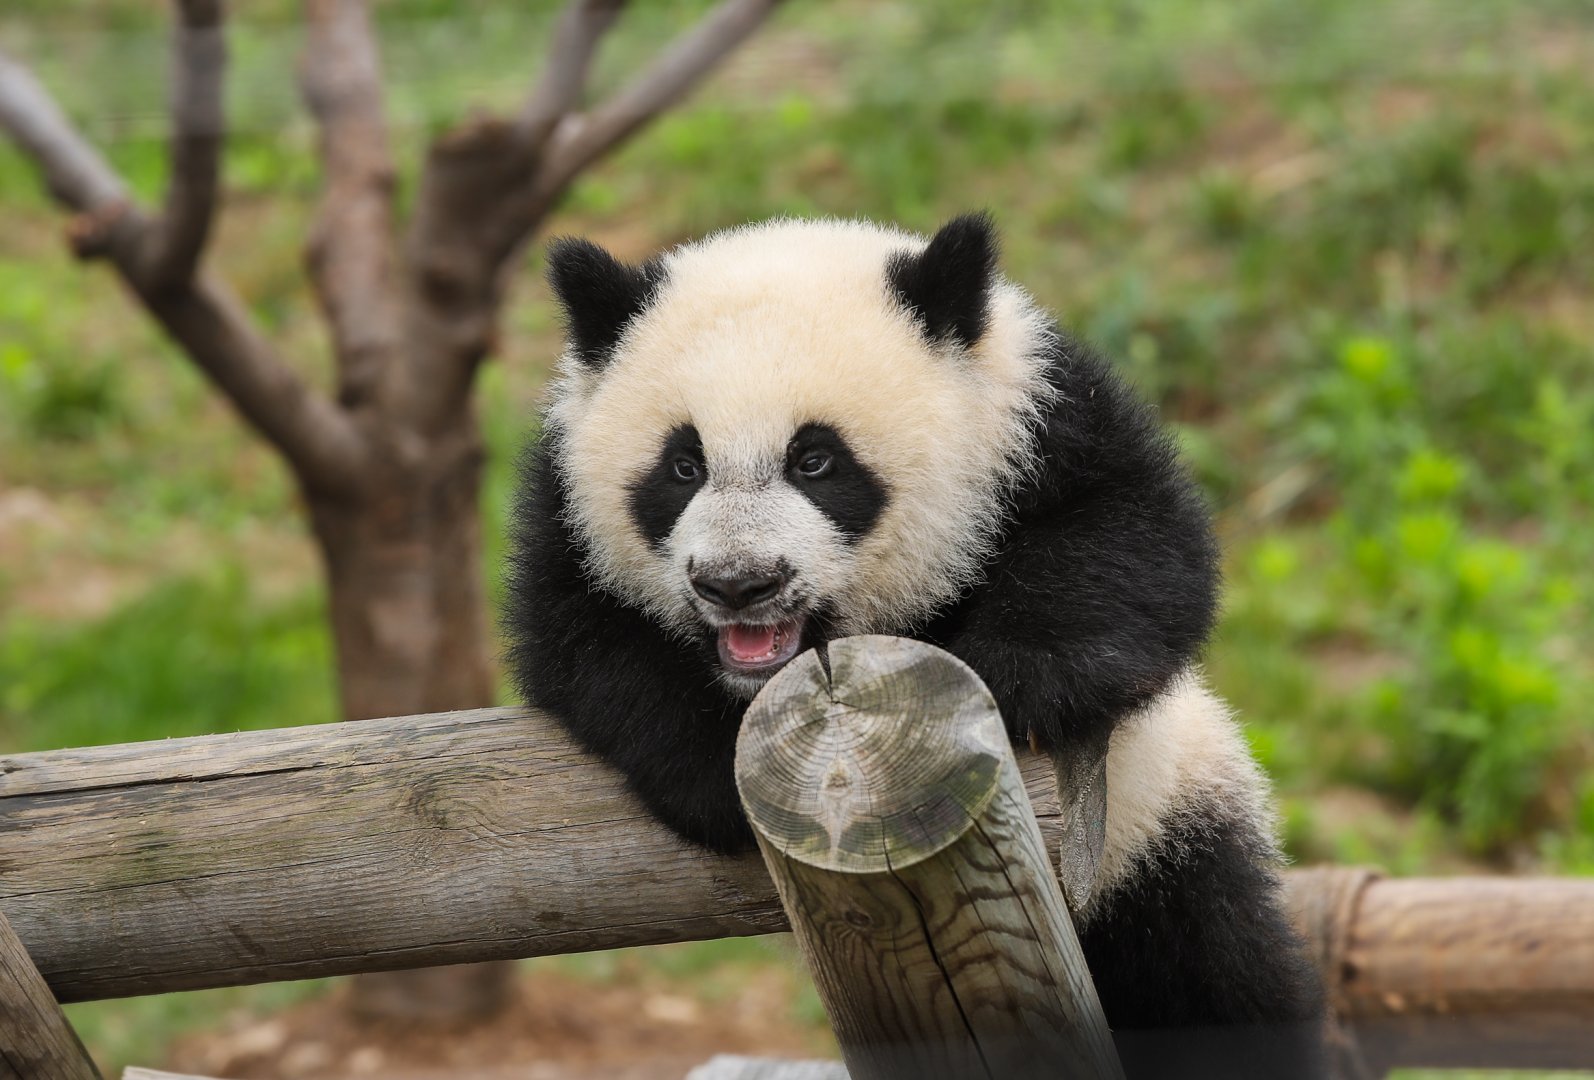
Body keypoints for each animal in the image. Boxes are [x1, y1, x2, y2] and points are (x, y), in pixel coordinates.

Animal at [505, 214, 1325, 1077]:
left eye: (816, 460)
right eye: (683, 464)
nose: (739, 583)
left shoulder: (1040, 417)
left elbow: (1136, 548)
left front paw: (1014, 683)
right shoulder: (561, 508)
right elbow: (578, 640)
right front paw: (711, 770)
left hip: (1160, 816)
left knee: (1211, 973)